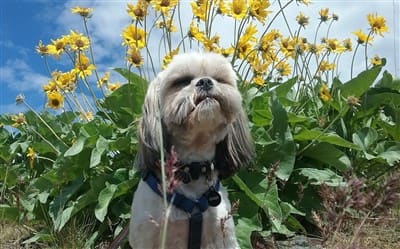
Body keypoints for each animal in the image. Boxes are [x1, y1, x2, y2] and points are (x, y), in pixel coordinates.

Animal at [130, 51, 255, 248]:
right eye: (182, 81)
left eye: (219, 79)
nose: (205, 81)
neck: (191, 169)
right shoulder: (147, 236)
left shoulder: (222, 235)